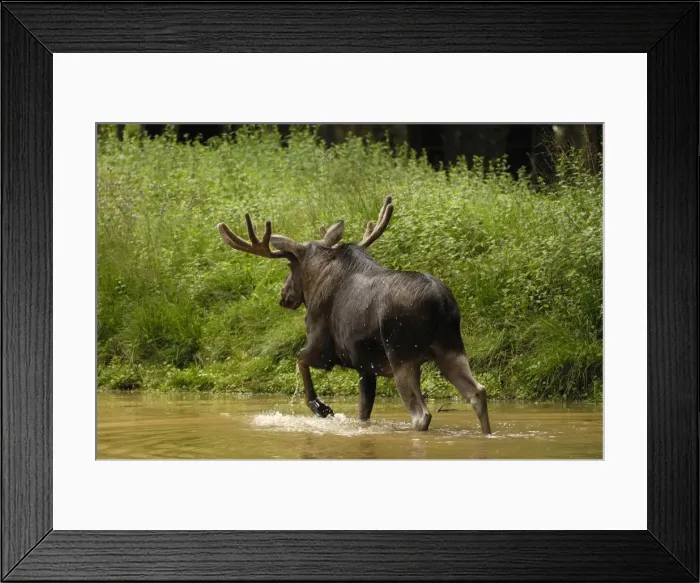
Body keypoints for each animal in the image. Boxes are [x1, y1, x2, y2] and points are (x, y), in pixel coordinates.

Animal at [217, 196, 492, 434]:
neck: (316, 279)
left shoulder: (322, 348)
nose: (284, 296)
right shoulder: (366, 367)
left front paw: (322, 408)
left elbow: (300, 359)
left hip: (402, 354)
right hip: (450, 348)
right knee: (478, 392)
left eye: (289, 265)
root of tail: (441, 303)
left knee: (421, 414)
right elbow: (363, 413)